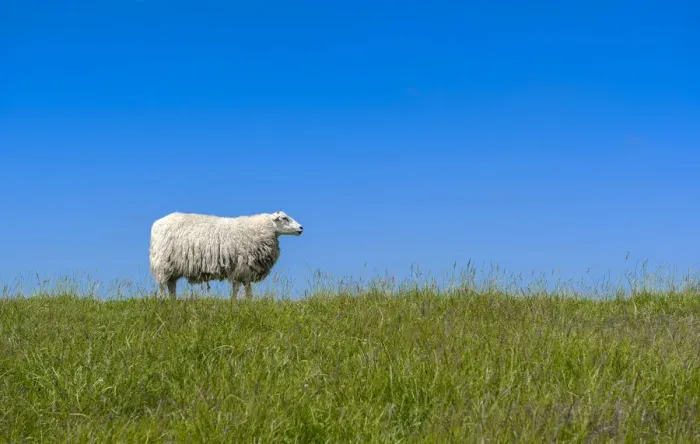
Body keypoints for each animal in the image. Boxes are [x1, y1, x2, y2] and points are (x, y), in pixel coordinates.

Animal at [149, 210, 303, 299]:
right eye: (284, 218)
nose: (301, 228)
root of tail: (157, 223)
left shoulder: (240, 270)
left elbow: (239, 290)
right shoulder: (243, 268)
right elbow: (245, 291)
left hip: (173, 268)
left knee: (171, 287)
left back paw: (173, 303)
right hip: (162, 264)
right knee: (162, 287)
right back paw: (164, 302)